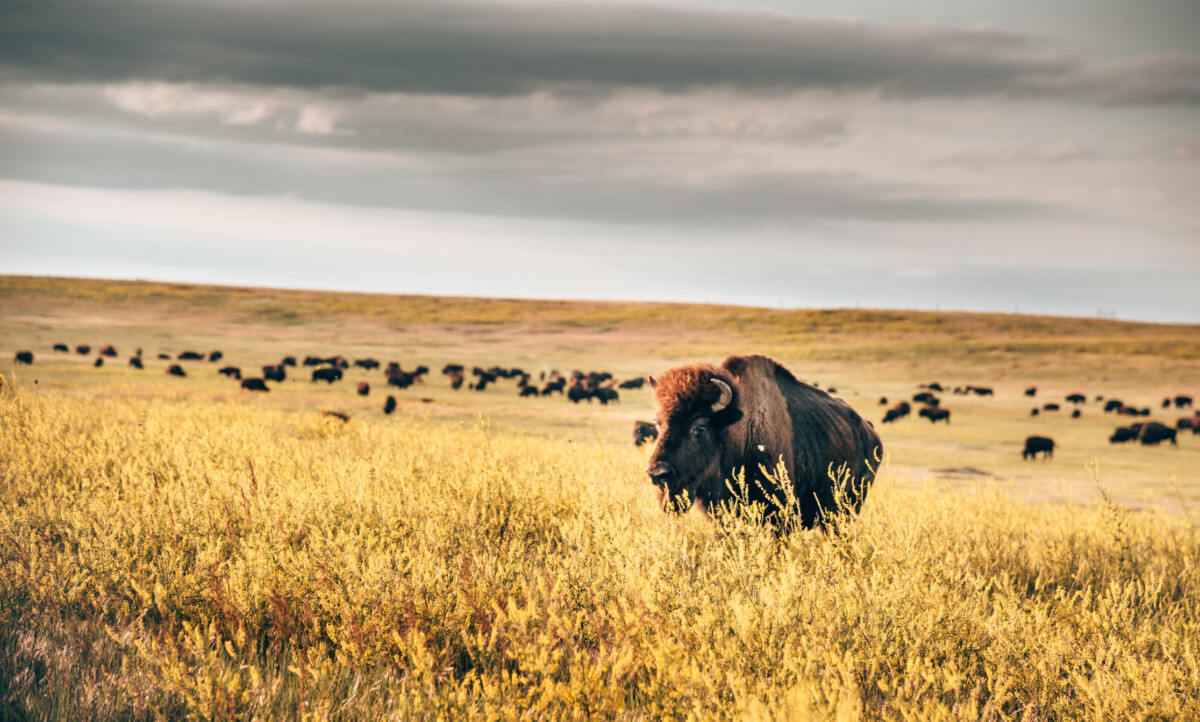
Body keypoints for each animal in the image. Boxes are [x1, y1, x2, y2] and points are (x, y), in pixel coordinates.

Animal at [648, 350, 883, 530]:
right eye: (658, 422)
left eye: (700, 426)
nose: (658, 474)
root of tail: (869, 431)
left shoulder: (781, 518)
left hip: (845, 512)